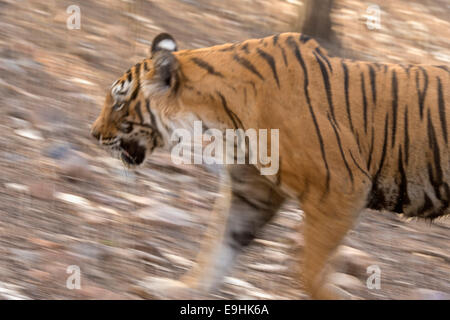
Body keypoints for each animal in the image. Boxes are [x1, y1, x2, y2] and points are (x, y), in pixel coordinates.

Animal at [89, 32, 448, 300]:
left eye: (119, 102)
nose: (93, 133)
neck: (216, 117)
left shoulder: (340, 189)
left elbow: (309, 272)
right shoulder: (250, 191)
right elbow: (216, 249)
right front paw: (177, 289)